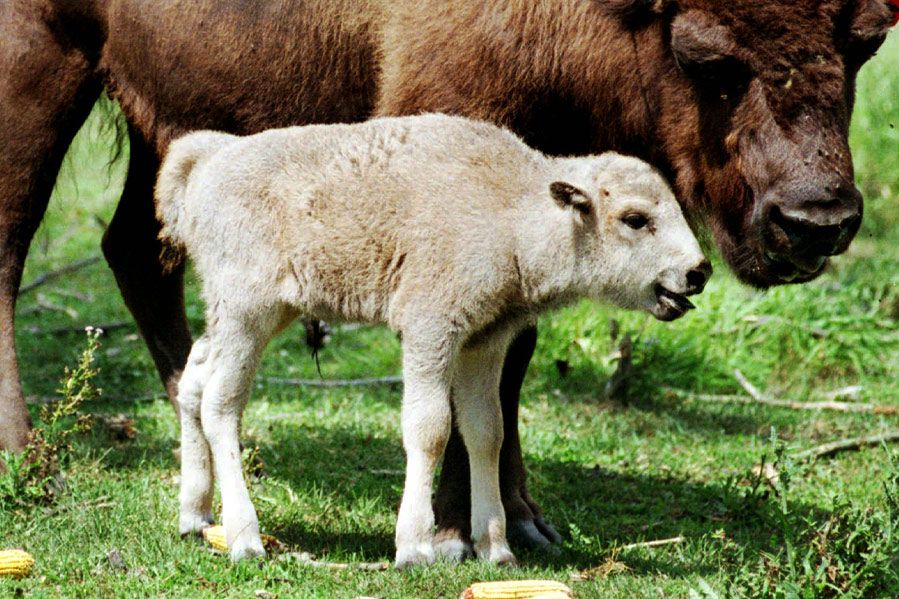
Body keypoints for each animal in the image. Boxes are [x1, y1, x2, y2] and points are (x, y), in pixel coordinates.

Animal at [158, 112, 712, 568]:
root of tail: (210, 158)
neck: (512, 211)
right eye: (635, 219)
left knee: (194, 378)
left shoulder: (484, 341)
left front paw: (496, 549)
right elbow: (430, 428)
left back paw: (195, 516)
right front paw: (415, 547)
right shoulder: (431, 328)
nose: (698, 272)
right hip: (247, 311)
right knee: (222, 402)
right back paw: (245, 538)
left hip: (247, 313)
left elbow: (487, 431)